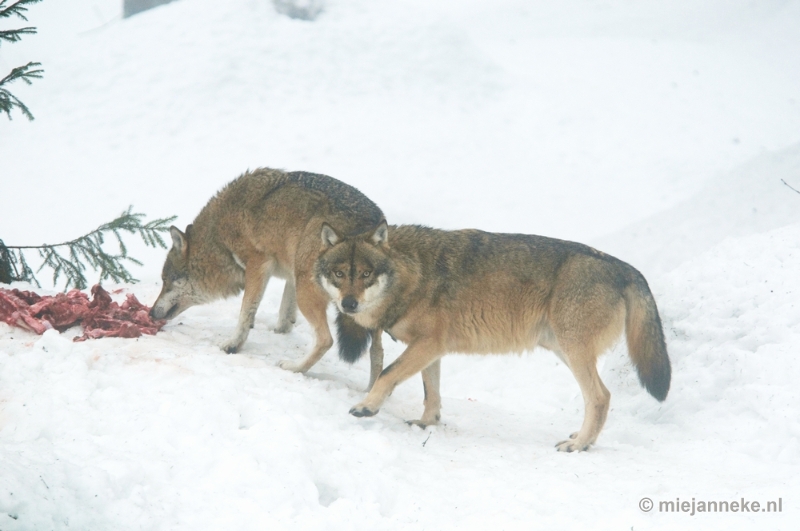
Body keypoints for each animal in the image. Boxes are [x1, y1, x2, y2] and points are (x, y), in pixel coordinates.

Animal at [316, 222, 672, 450]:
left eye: (365, 274)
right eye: (339, 274)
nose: (349, 304)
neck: (413, 272)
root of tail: (626, 268)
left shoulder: (428, 344)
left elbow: (387, 374)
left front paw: (366, 407)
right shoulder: (431, 349)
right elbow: (431, 392)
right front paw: (427, 423)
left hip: (574, 351)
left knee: (600, 397)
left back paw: (580, 445)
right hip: (563, 350)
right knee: (600, 397)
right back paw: (581, 439)